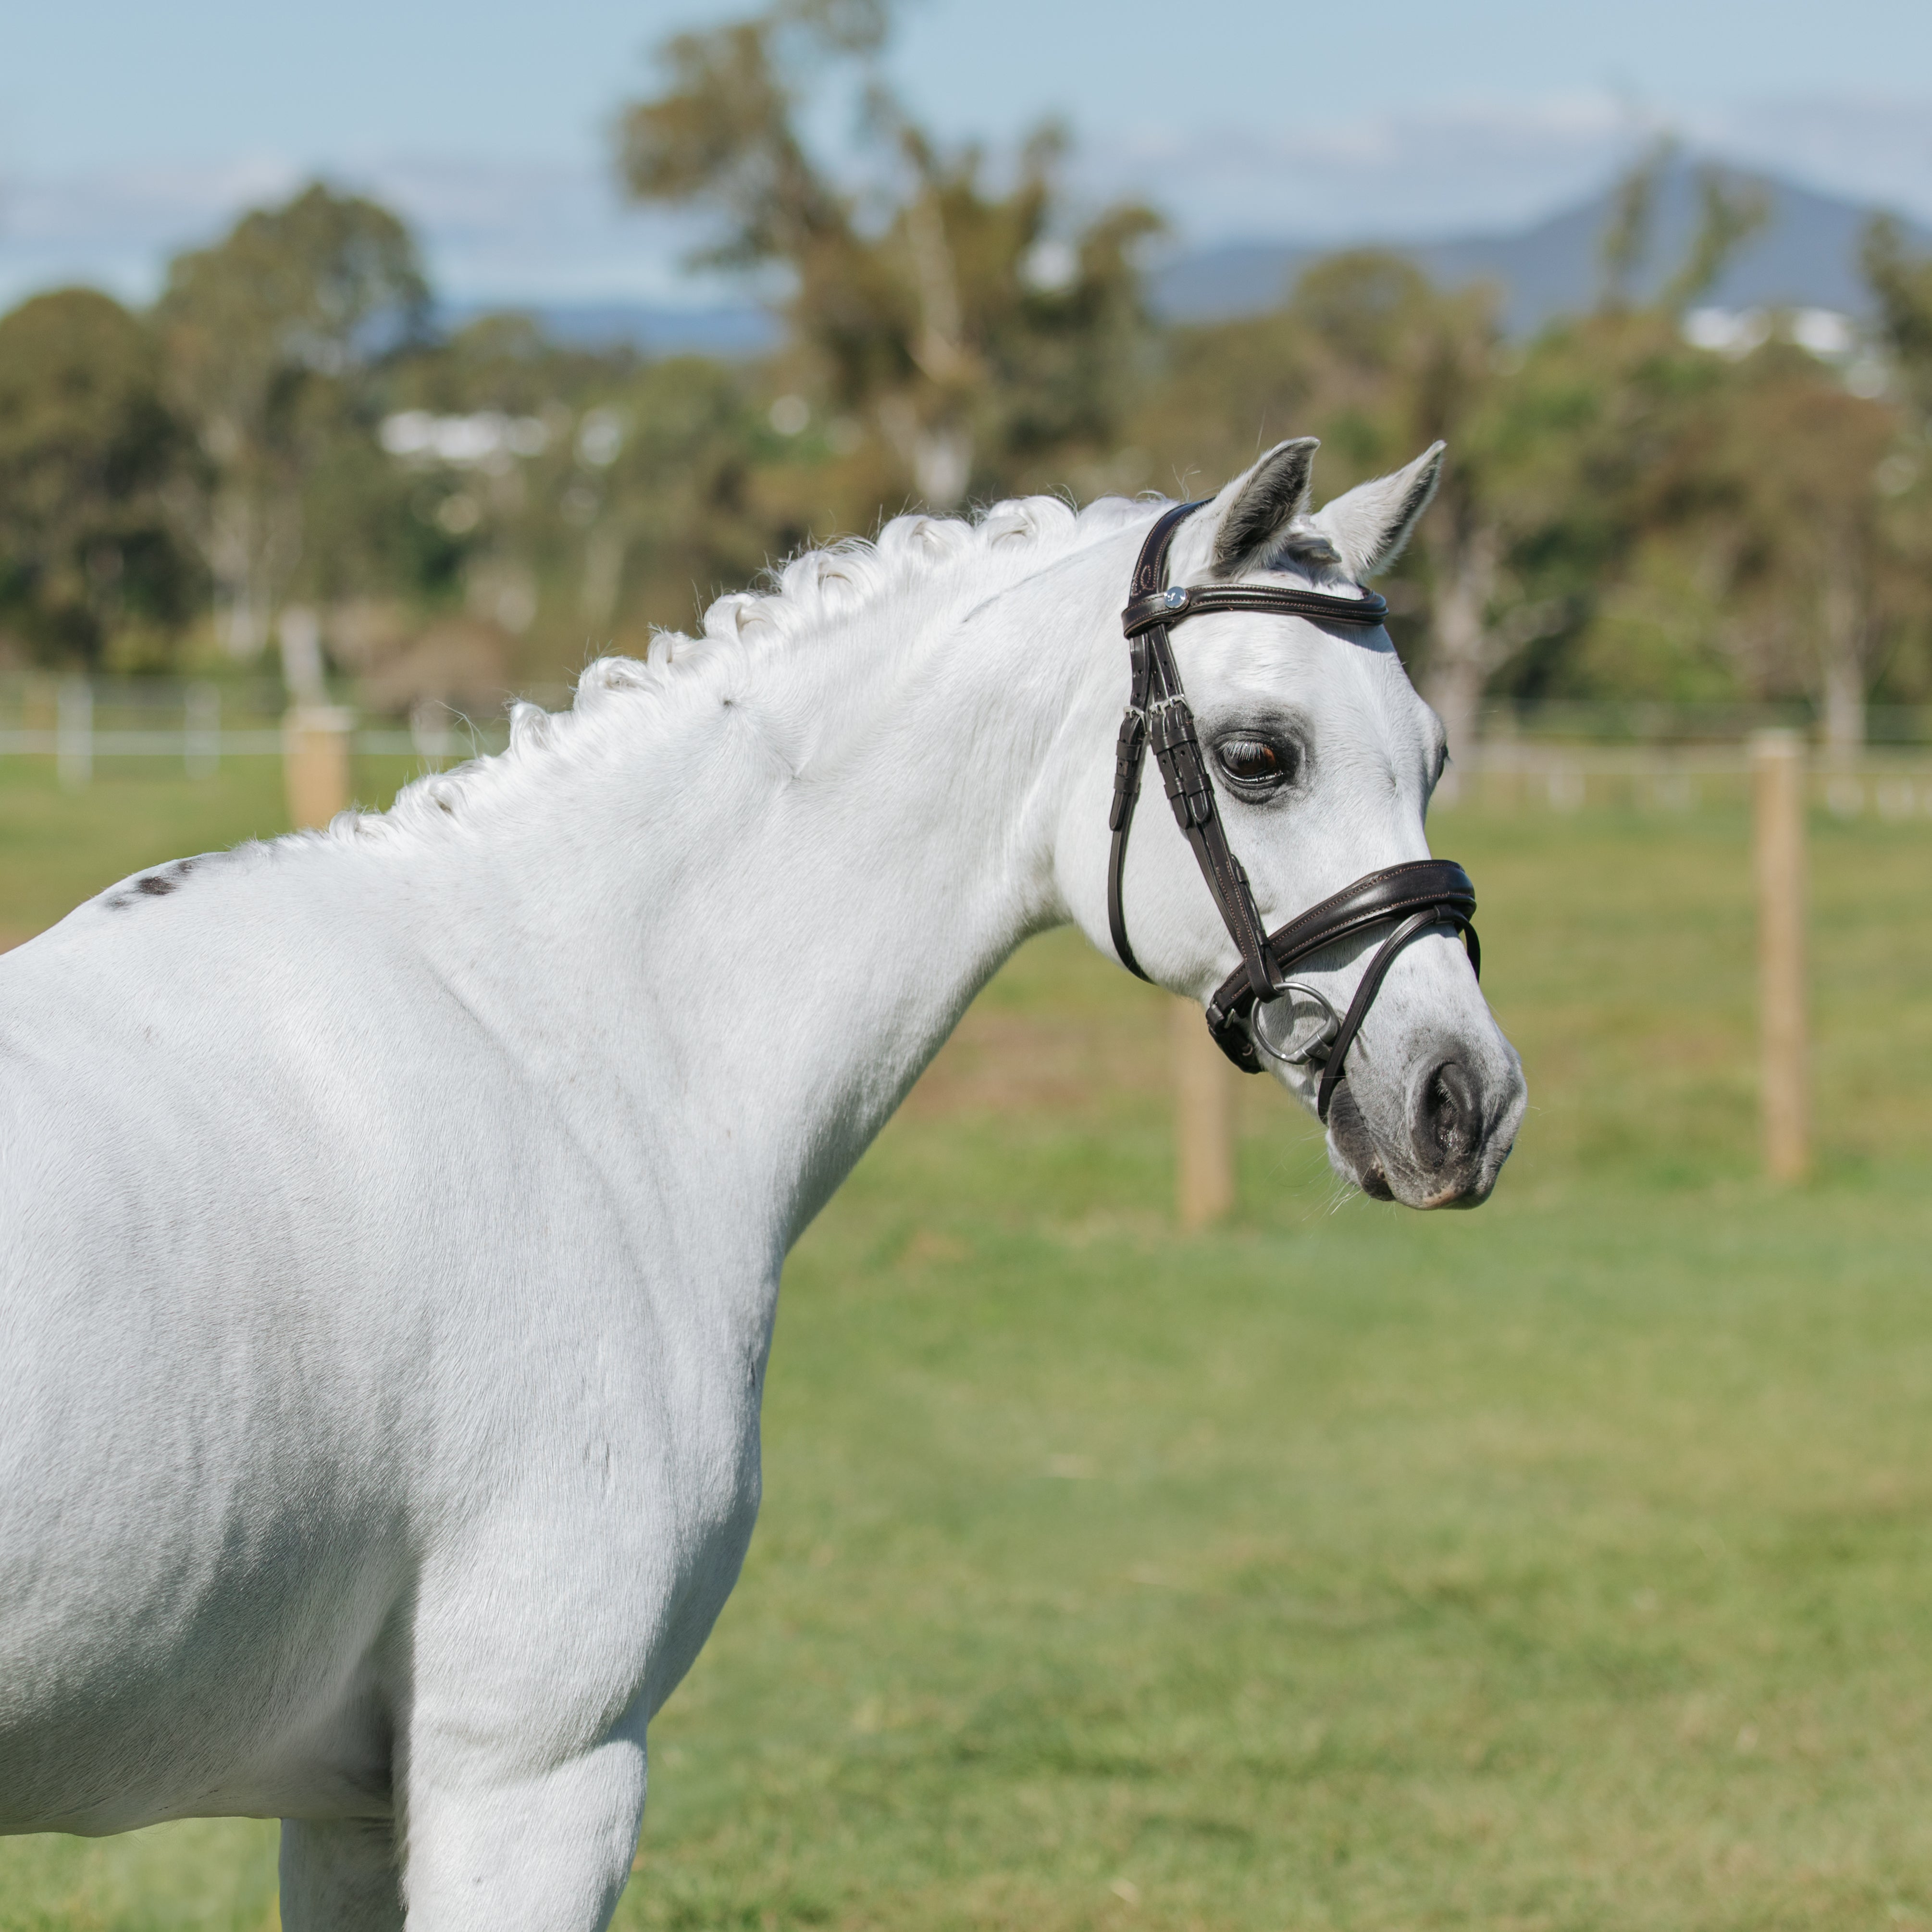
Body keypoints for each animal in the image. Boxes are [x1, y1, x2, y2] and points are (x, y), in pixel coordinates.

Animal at [0, 439, 1525, 1929]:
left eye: (1436, 754)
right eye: (1261, 756)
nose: (1468, 1100)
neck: (542, 1039)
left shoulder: (355, 1811)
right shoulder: (533, 1777)